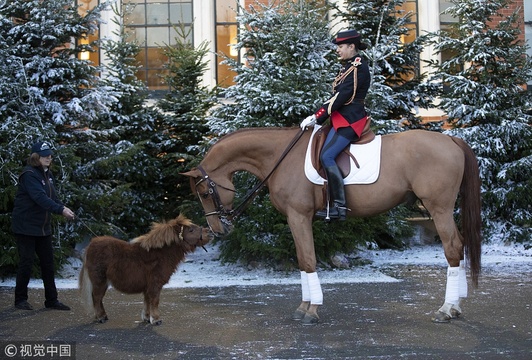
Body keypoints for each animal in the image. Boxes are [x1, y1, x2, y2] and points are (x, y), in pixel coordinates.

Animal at [79, 215, 212, 324]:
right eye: (191, 230)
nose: (209, 232)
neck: (160, 255)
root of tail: (90, 245)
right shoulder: (155, 284)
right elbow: (155, 300)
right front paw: (156, 319)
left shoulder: (148, 286)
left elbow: (147, 301)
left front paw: (147, 318)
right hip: (99, 280)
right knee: (96, 297)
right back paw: (101, 317)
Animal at [183, 128, 482, 324]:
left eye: (205, 193)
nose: (217, 230)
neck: (281, 157)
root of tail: (451, 139)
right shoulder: (296, 219)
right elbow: (302, 261)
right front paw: (304, 306)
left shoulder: (299, 216)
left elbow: (308, 259)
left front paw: (312, 309)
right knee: (459, 246)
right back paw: (456, 306)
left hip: (438, 208)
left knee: (452, 248)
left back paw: (446, 309)